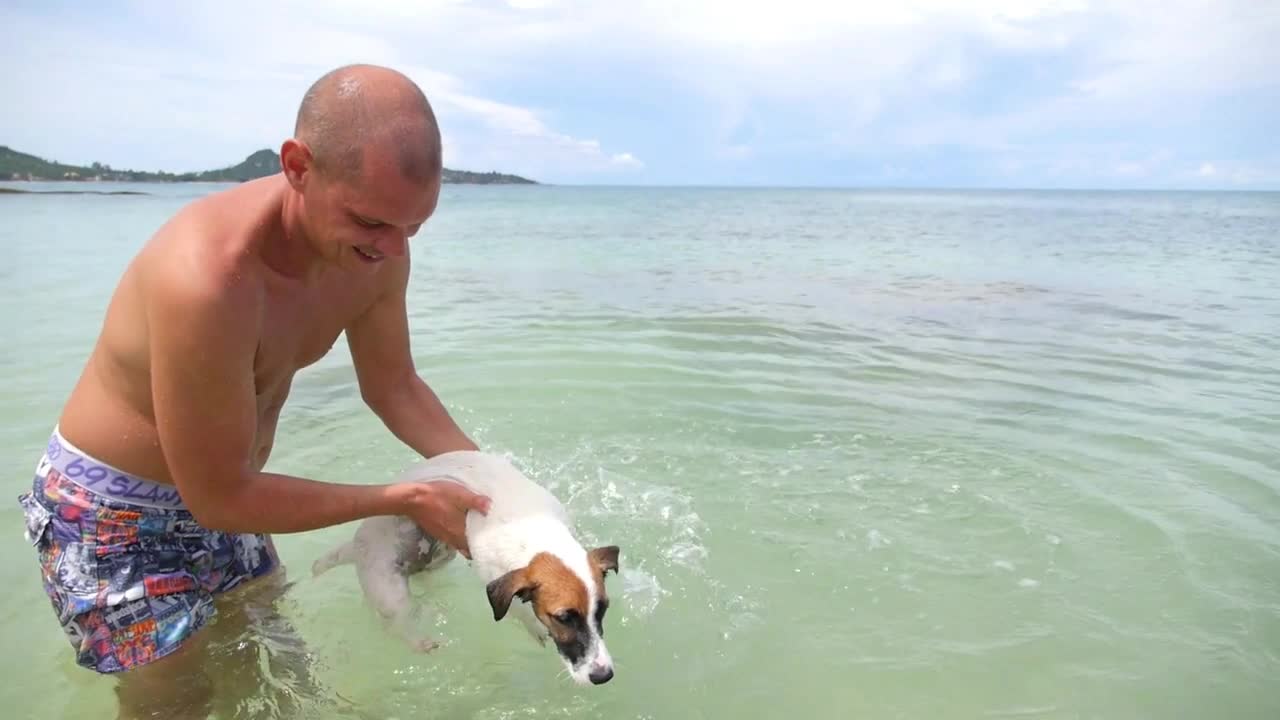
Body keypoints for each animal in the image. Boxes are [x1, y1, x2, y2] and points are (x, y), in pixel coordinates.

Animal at [309, 448, 619, 681]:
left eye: (602, 610)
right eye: (563, 618)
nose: (602, 675)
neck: (535, 529)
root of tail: (354, 546)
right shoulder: (494, 575)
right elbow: (518, 608)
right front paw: (534, 626)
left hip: (434, 562)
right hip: (388, 588)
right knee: (396, 624)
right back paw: (420, 641)